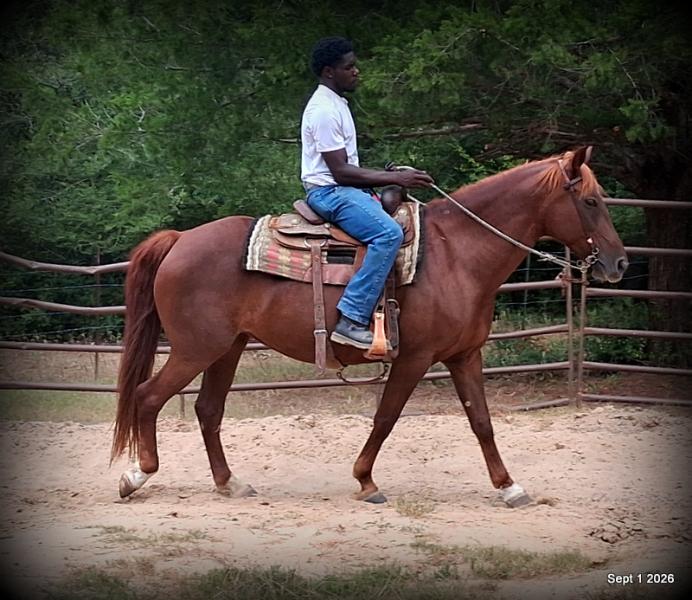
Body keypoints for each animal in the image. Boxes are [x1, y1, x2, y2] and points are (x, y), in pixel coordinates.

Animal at [111, 146, 627, 507]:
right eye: (590, 201)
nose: (619, 263)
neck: (457, 253)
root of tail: (180, 240)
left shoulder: (464, 355)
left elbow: (481, 422)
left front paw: (510, 487)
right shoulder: (415, 358)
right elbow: (386, 417)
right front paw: (365, 481)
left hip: (228, 348)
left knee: (208, 410)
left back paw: (229, 483)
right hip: (195, 348)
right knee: (149, 397)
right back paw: (136, 476)